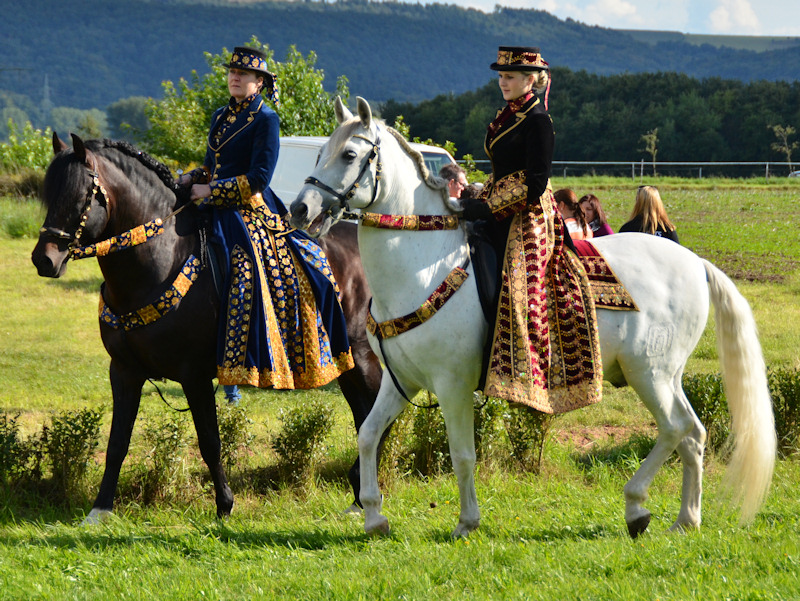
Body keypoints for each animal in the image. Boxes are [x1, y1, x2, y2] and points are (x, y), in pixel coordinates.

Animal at [30, 135, 382, 520]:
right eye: (48, 193)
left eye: (80, 196)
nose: (44, 259)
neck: (161, 258)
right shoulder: (123, 371)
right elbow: (117, 441)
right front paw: (100, 509)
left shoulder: (194, 375)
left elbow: (210, 442)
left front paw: (225, 506)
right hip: (345, 361)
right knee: (365, 413)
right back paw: (358, 494)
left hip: (360, 352)